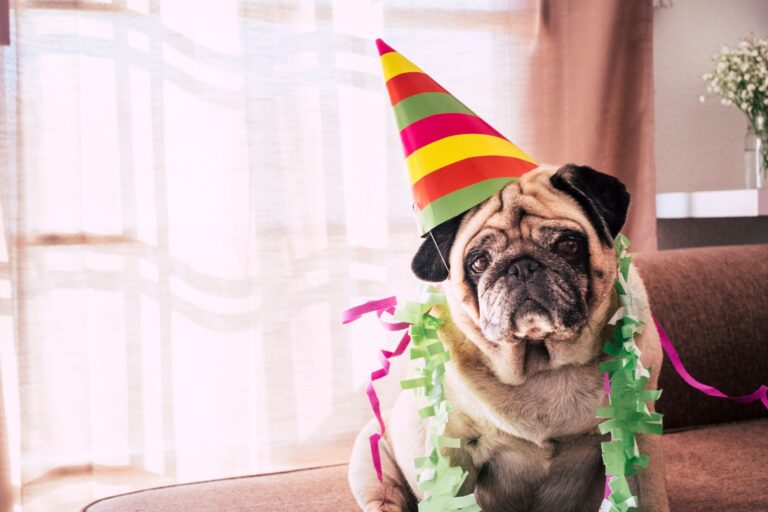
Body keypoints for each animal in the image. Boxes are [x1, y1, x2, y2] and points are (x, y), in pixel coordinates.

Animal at [352, 164, 668, 512]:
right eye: (479, 262)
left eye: (568, 246)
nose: (521, 266)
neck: (543, 365)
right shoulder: (452, 455)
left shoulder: (636, 432)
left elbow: (650, 498)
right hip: (369, 466)